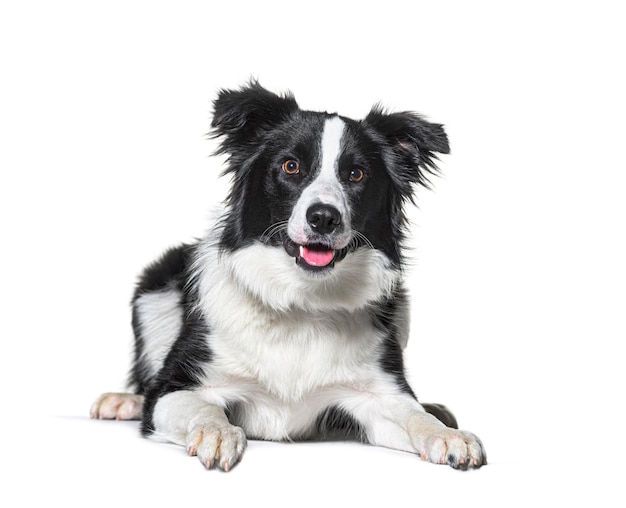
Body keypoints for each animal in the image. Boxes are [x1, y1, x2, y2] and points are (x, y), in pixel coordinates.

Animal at [90, 81, 486, 470]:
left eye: (356, 174)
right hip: (154, 289)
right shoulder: (175, 388)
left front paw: (448, 434)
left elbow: (414, 415)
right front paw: (218, 432)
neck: (303, 300)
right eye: (291, 166)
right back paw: (123, 400)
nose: (323, 217)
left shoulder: (378, 393)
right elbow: (200, 406)